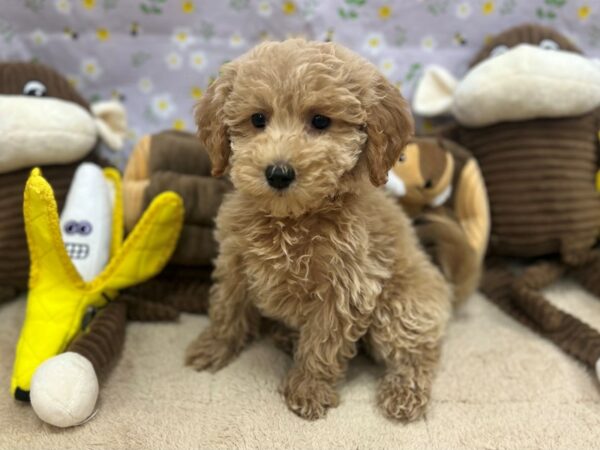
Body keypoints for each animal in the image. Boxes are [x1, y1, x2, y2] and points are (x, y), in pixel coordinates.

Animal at [185, 40, 452, 424]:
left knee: (416, 353)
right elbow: (227, 308)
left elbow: (323, 342)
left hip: (404, 304)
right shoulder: (234, 261)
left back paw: (404, 394)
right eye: (258, 119)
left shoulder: (345, 287)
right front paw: (213, 346)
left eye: (320, 121)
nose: (278, 173)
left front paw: (308, 388)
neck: (291, 219)